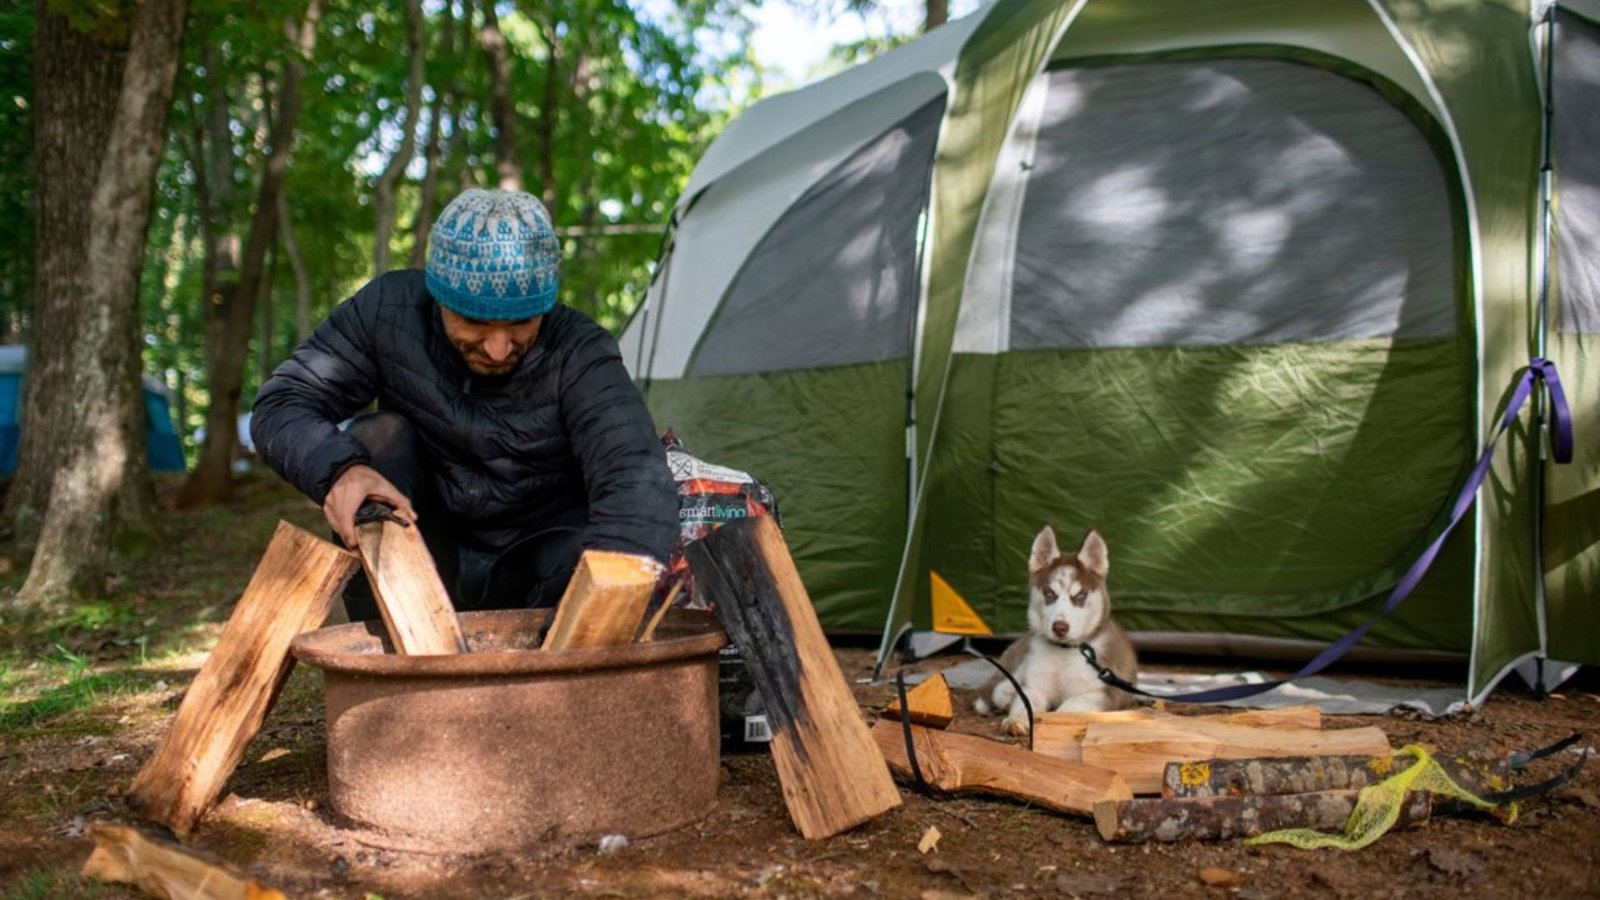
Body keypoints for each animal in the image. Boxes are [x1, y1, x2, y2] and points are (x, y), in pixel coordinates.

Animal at [972, 522, 1139, 733]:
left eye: (1081, 596)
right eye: (1049, 593)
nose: (1060, 627)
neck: (1064, 652)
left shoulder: (1105, 693)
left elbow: (1070, 706)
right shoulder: (1036, 687)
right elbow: (1025, 702)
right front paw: (1016, 719)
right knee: (998, 688)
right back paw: (1007, 693)